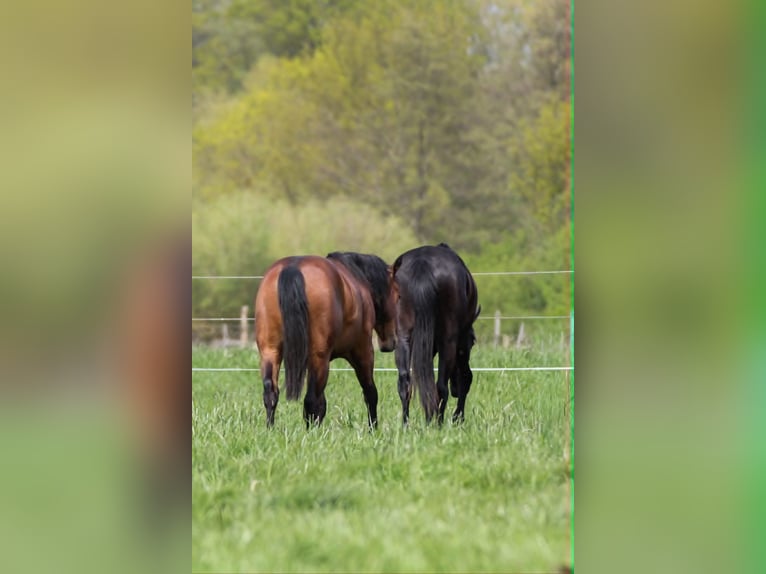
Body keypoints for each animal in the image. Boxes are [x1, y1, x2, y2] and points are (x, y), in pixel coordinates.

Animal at [254, 251, 397, 428]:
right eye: (398, 295)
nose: (389, 343)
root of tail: (293, 267)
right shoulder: (362, 351)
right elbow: (370, 393)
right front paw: (373, 429)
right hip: (320, 357)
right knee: (311, 399)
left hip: (270, 351)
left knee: (271, 394)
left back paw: (270, 429)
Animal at [392, 243, 480, 425]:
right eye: (473, 343)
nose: (455, 390)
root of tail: (422, 264)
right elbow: (464, 378)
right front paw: (458, 418)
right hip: (448, 341)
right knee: (441, 387)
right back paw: (438, 424)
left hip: (403, 338)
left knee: (405, 384)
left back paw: (405, 424)